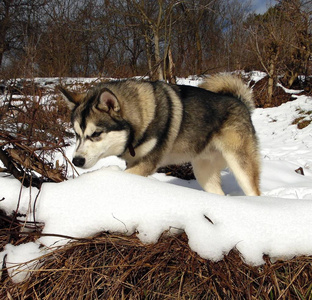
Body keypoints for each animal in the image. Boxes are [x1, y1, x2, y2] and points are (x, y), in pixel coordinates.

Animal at [60, 74, 260, 197]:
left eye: (96, 133)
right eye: (76, 134)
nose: (77, 160)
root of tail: (240, 102)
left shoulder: (147, 163)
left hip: (240, 163)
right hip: (203, 170)